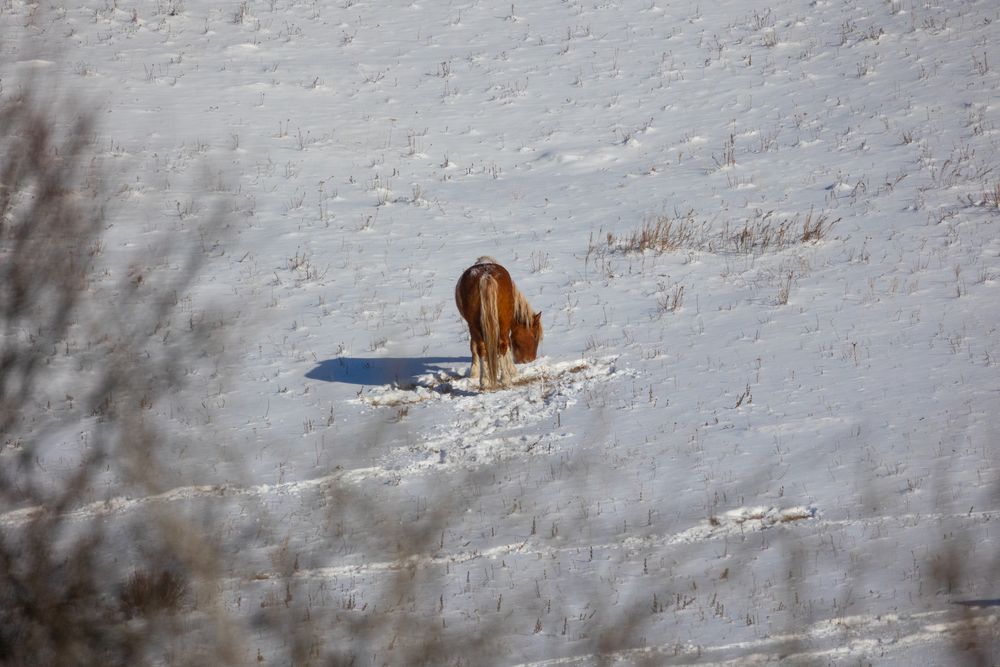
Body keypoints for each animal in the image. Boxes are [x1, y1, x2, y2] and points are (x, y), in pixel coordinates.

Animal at [455, 256, 543, 390]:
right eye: (535, 335)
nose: (529, 360)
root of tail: (486, 275)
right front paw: (512, 370)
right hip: (499, 324)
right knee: (501, 345)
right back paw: (504, 379)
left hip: (475, 325)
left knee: (483, 348)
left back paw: (485, 381)